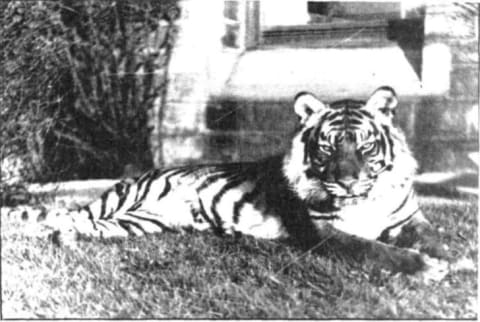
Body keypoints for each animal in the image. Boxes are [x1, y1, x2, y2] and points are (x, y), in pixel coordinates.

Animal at [11, 87, 446, 278]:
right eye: (326, 149)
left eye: (365, 146)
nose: (350, 183)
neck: (364, 201)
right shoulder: (324, 232)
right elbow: (371, 249)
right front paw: (424, 267)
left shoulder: (409, 219)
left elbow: (430, 234)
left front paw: (445, 257)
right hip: (119, 205)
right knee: (64, 216)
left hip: (134, 224)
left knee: (80, 225)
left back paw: (65, 239)